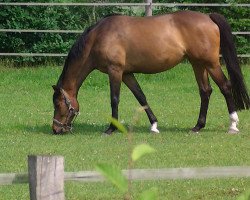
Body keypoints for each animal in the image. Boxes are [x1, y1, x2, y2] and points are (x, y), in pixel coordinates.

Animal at [51, 11, 249, 136]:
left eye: (58, 104)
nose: (56, 129)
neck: (99, 37)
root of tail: (208, 17)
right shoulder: (127, 73)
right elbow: (141, 97)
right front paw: (153, 125)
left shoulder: (115, 71)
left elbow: (114, 99)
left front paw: (110, 129)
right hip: (197, 64)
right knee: (205, 91)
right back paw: (197, 126)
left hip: (210, 63)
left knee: (225, 86)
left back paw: (233, 125)